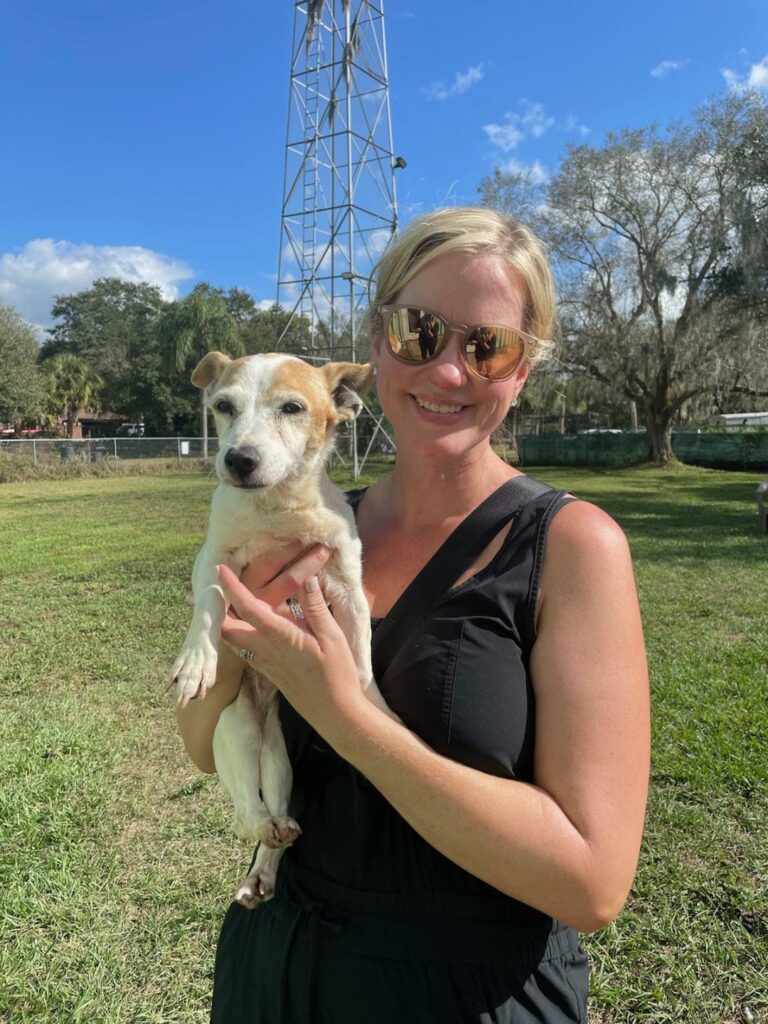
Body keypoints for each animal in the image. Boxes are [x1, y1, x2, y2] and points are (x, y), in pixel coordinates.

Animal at [175, 350, 391, 905]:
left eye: (292, 408)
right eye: (222, 407)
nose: (238, 459)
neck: (278, 511)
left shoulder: (346, 583)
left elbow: (362, 654)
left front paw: (371, 702)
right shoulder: (214, 560)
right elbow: (209, 605)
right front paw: (197, 661)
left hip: (278, 763)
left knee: (274, 813)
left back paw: (272, 854)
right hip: (236, 733)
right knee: (243, 814)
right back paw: (258, 835)